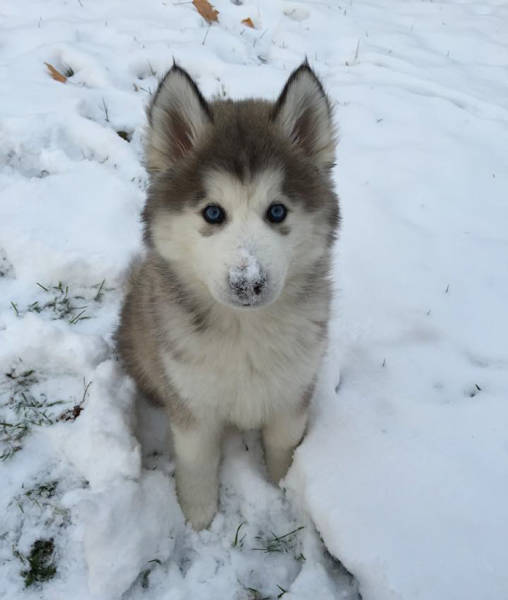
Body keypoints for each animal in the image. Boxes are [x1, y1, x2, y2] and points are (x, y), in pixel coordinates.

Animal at [117, 62, 340, 528]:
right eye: (213, 213)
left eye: (277, 211)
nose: (248, 283)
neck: (245, 331)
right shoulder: (191, 403)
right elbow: (198, 462)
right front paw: (199, 516)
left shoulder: (293, 390)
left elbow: (283, 446)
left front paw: (283, 488)